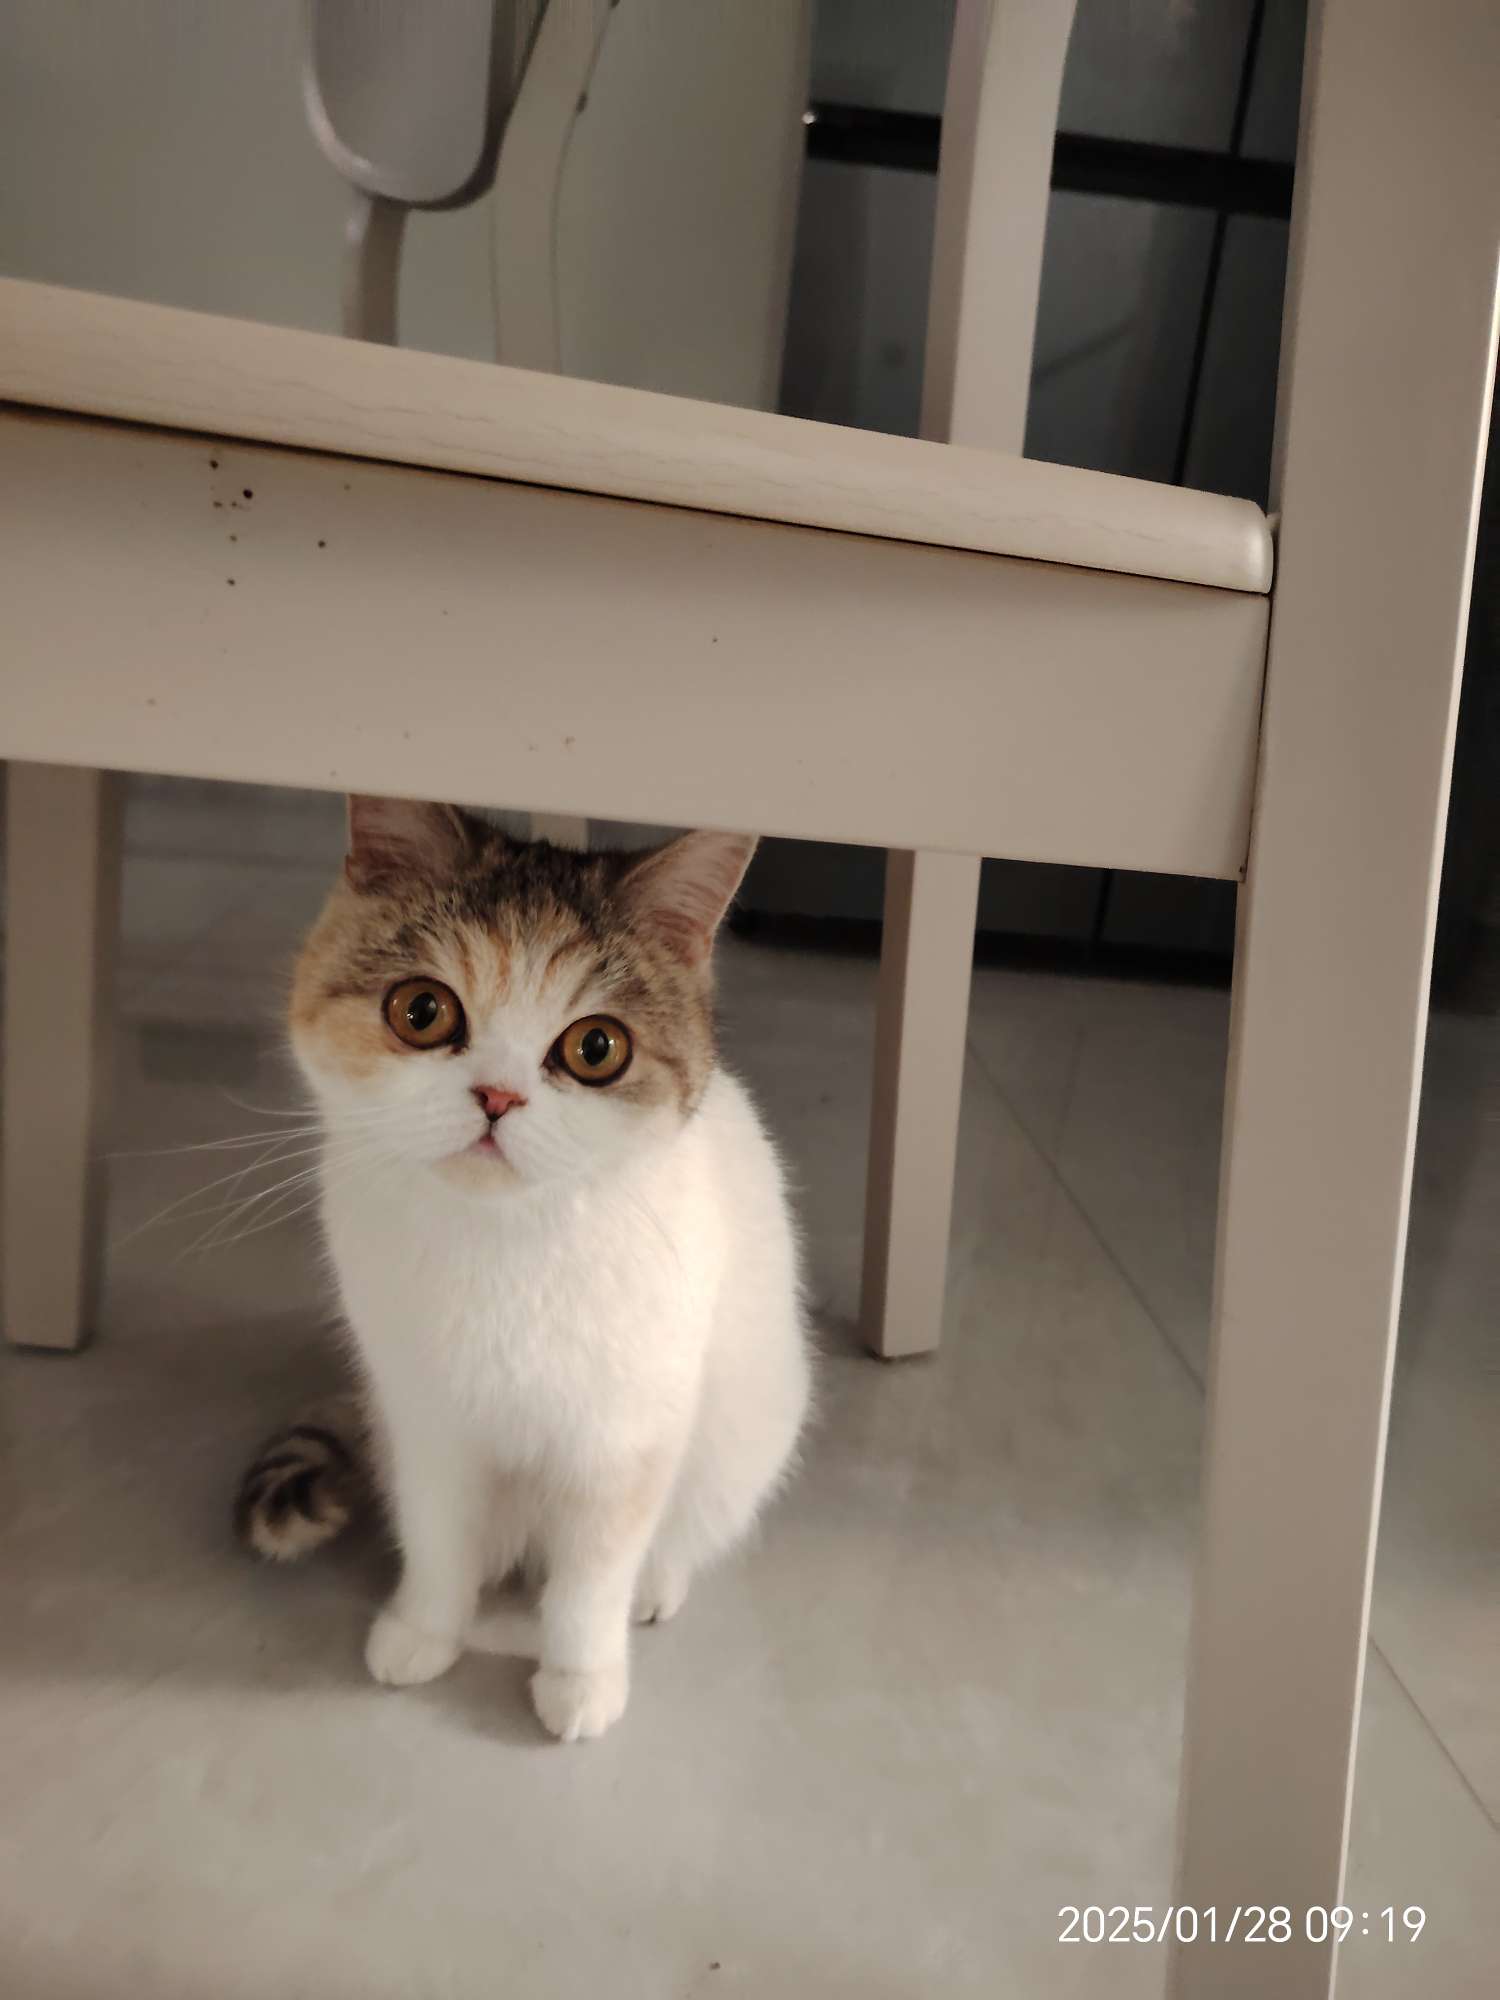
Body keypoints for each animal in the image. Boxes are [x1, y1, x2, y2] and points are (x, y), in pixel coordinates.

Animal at [236, 796, 810, 1742]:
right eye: (421, 1010)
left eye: (597, 1048)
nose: (497, 1098)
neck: (504, 1244)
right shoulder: (426, 1416)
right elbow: (439, 1536)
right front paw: (423, 1632)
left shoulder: (623, 1437)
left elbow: (592, 1578)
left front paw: (581, 1680)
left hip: (744, 1439)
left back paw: (656, 1586)